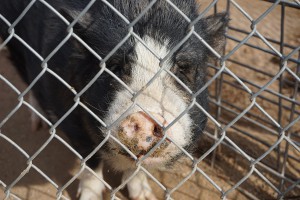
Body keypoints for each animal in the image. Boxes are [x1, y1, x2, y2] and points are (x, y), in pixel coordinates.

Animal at [0, 0, 227, 199]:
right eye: (114, 67)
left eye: (182, 69)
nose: (146, 117)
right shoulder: (70, 116)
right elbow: (90, 159)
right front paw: (89, 197)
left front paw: (145, 197)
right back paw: (38, 125)